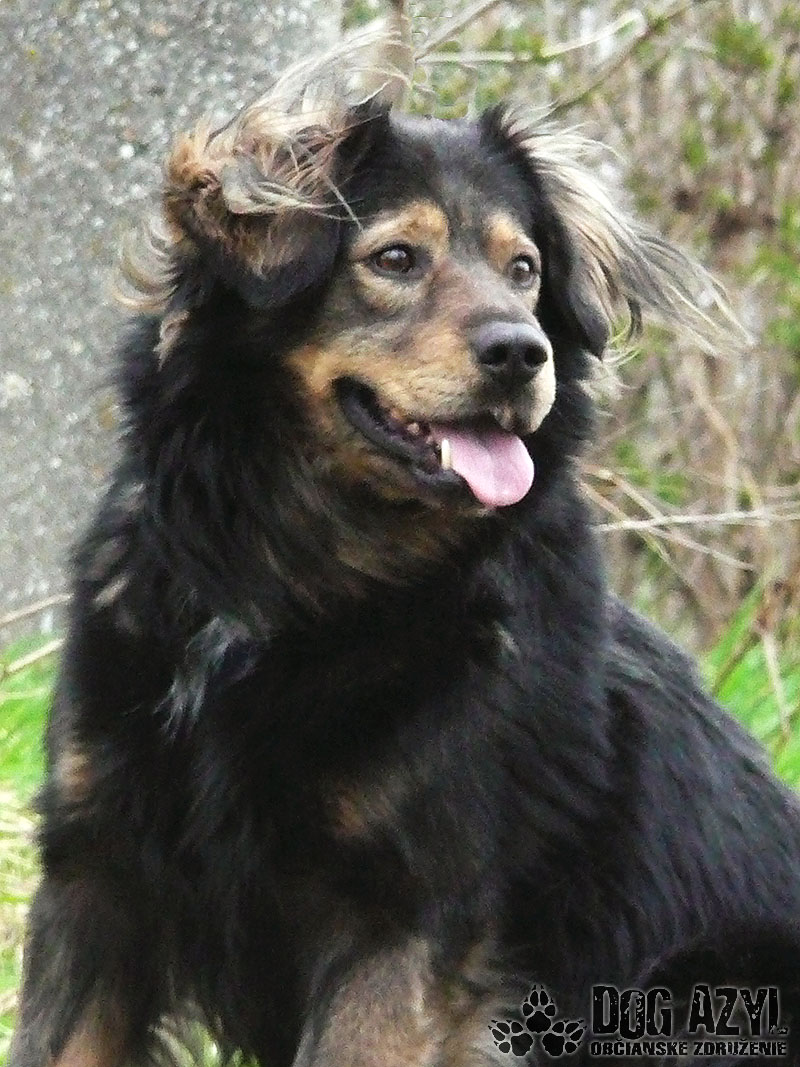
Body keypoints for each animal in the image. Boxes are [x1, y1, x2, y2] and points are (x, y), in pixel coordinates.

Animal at [11, 7, 800, 1067]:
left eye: (525, 269)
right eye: (393, 259)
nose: (523, 353)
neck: (289, 573)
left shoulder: (406, 917)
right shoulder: (98, 869)